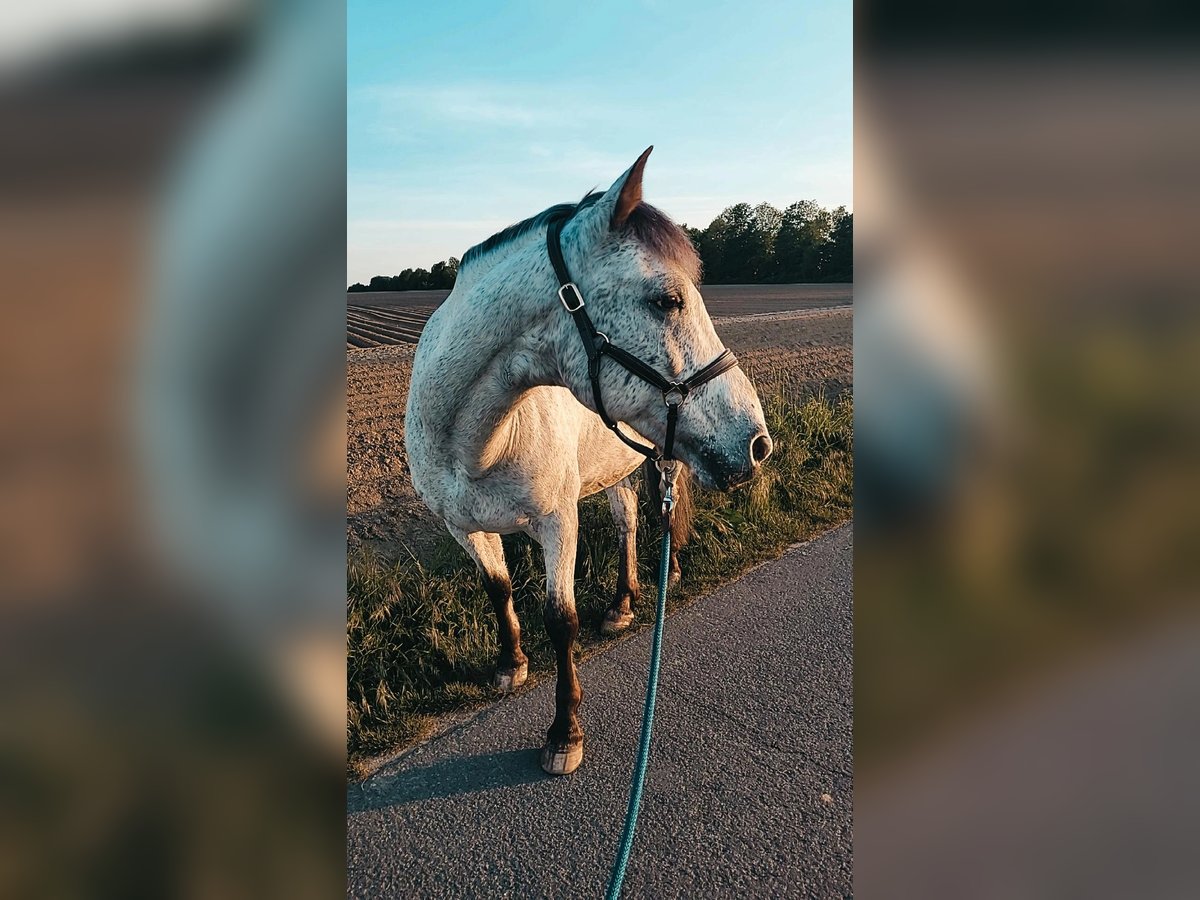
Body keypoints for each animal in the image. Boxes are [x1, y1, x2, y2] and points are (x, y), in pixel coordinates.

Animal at [403, 148, 772, 777]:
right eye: (667, 299)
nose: (757, 443)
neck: (472, 444)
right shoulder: (462, 527)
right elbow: (498, 588)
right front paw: (510, 665)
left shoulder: (558, 522)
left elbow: (561, 620)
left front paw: (564, 733)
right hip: (614, 469)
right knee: (627, 523)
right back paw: (621, 605)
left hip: (665, 461)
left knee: (660, 519)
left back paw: (666, 575)